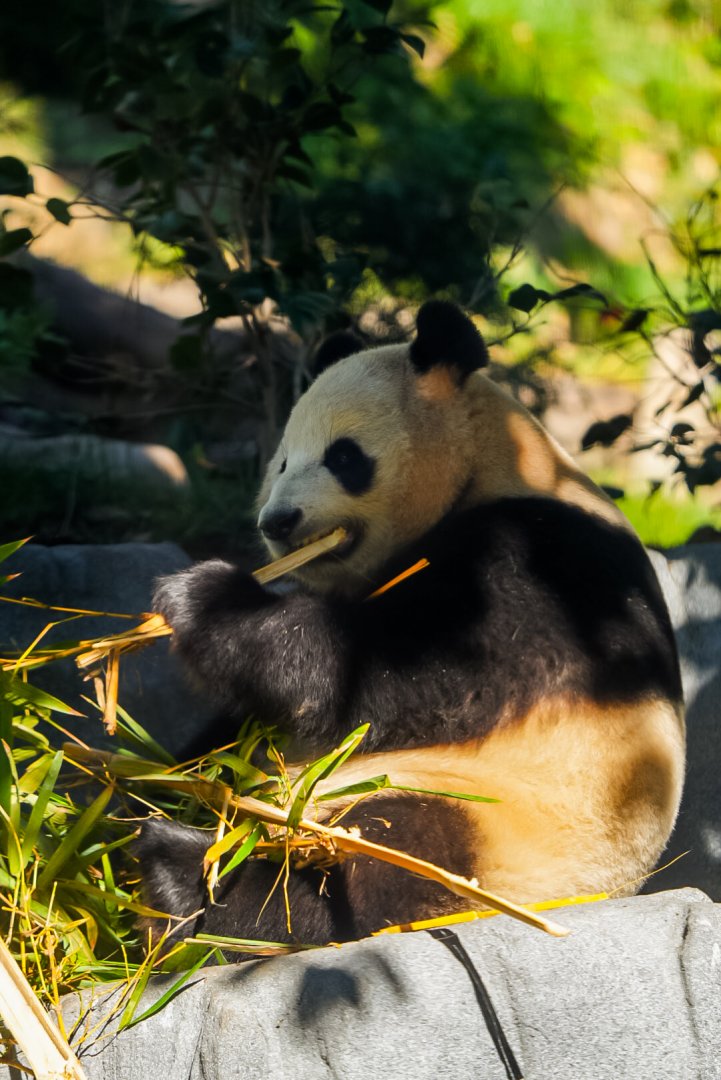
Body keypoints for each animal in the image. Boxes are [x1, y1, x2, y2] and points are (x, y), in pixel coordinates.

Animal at [139, 300, 684, 948]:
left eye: (343, 456)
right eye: (281, 461)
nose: (278, 521)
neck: (506, 463)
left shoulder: (552, 571)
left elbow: (414, 671)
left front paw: (206, 600)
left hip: (514, 824)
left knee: (396, 856)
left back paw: (190, 880)